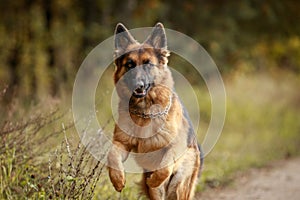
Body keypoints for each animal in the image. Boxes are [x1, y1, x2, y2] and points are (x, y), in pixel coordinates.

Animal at [108, 22, 204, 199]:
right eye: (129, 65)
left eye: (148, 64)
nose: (138, 84)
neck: (144, 112)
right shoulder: (121, 143)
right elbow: (111, 155)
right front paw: (117, 180)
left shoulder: (175, 146)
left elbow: (165, 167)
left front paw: (154, 179)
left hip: (179, 185)